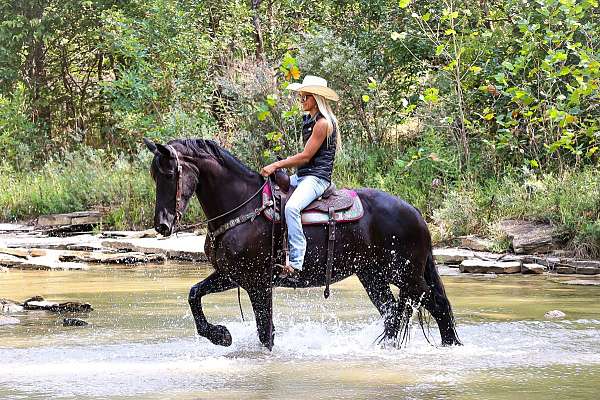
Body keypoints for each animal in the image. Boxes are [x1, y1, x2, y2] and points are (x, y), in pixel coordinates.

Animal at [144, 138, 460, 350]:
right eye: (154, 175)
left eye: (170, 174)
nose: (162, 225)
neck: (242, 207)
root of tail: (414, 212)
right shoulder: (232, 276)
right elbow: (194, 294)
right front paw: (220, 335)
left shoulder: (257, 283)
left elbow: (265, 332)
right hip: (373, 276)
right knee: (395, 312)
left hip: (405, 275)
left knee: (436, 305)